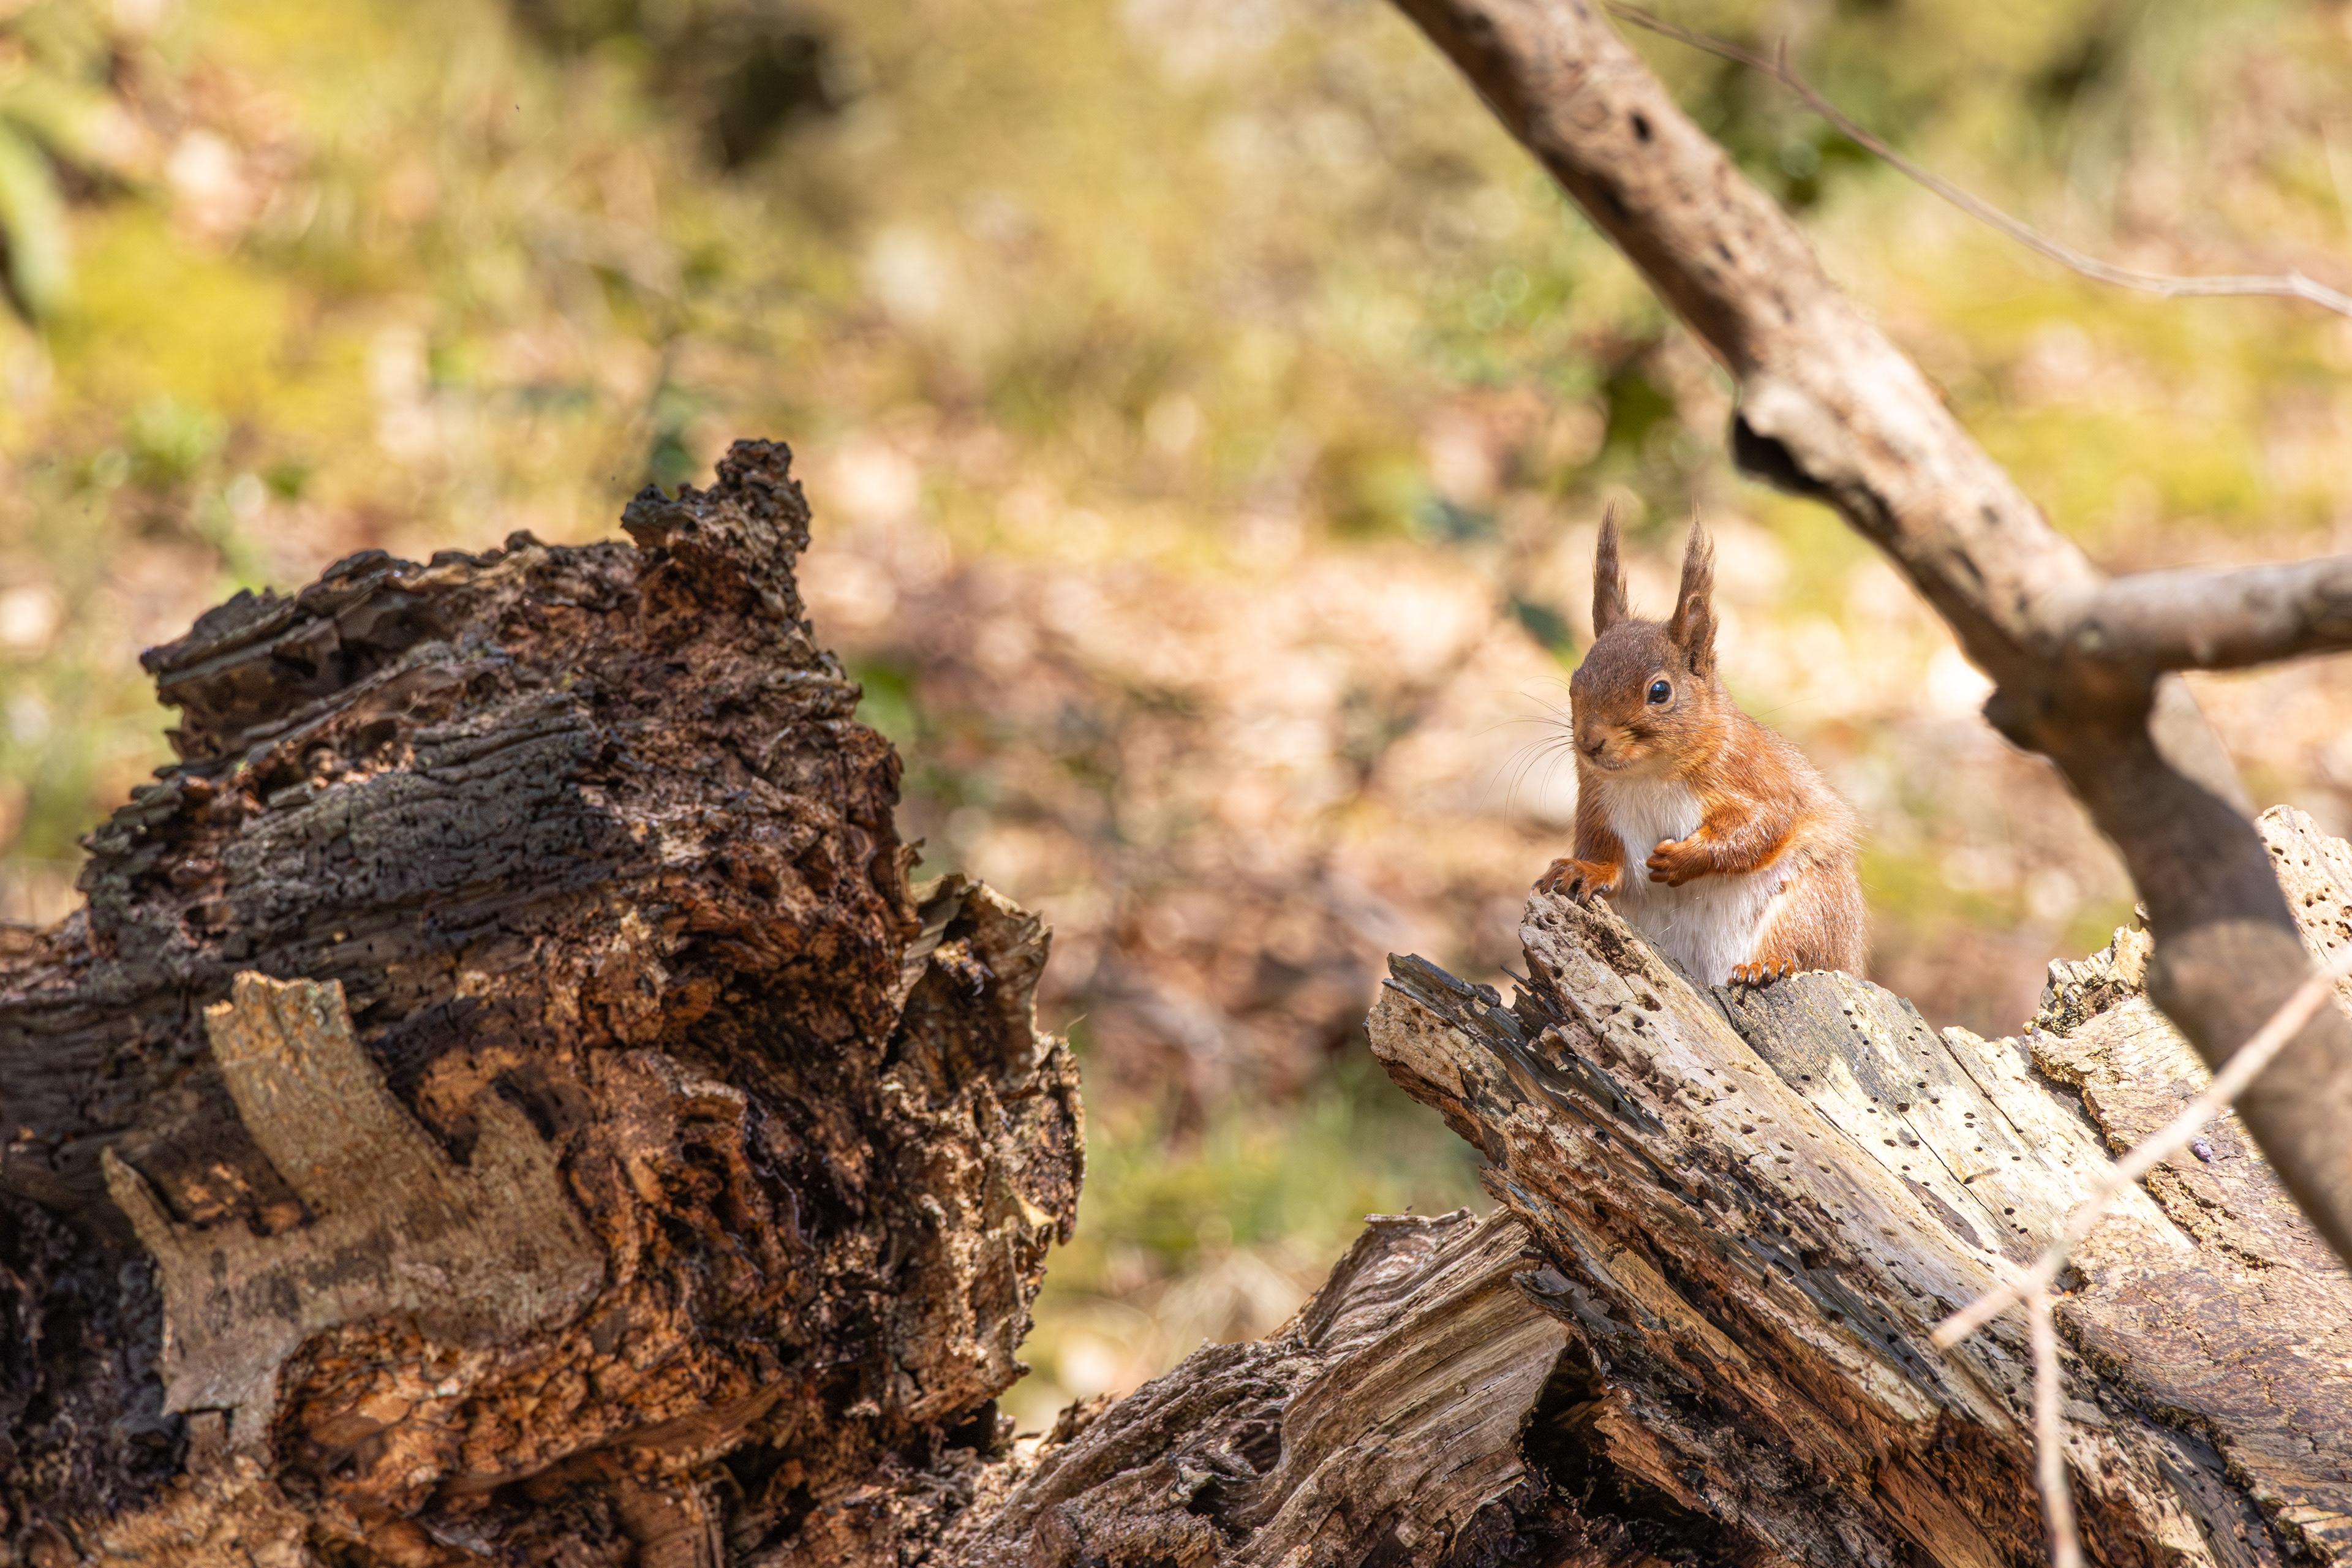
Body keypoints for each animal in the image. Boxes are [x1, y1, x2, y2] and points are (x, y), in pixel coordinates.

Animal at [1537, 512, 1866, 987]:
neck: (1650, 775)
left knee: (1801, 941)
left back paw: (1767, 964)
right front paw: (1583, 870)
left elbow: (1764, 826)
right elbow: (1606, 856)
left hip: (1815, 900)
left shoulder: (1754, 775)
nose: (1590, 743)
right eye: (1574, 682)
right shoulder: (1600, 804)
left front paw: (1683, 860)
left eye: (1659, 692)